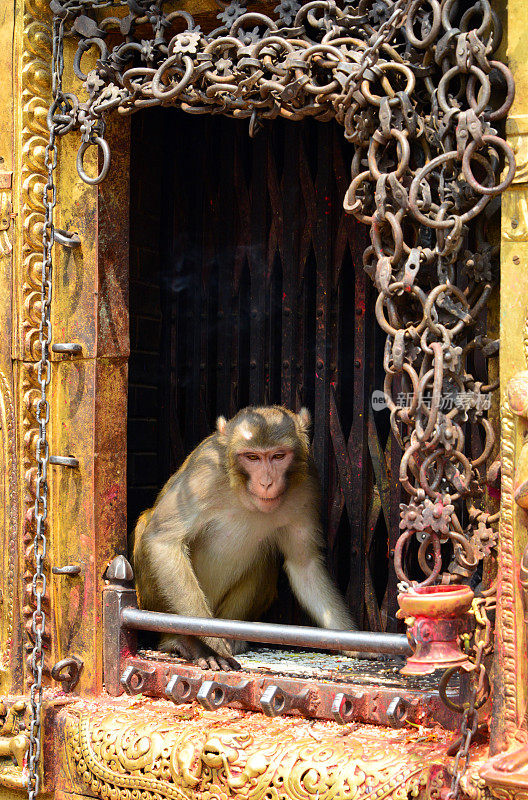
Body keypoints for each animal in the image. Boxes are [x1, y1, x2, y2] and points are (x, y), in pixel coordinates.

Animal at [133, 404, 358, 672]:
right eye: (252, 457)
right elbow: (163, 539)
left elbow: (304, 565)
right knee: (146, 524)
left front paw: (354, 641)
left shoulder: (307, 486)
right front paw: (210, 642)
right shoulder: (204, 474)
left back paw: (233, 636)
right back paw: (184, 642)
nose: (267, 482)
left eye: (278, 456)